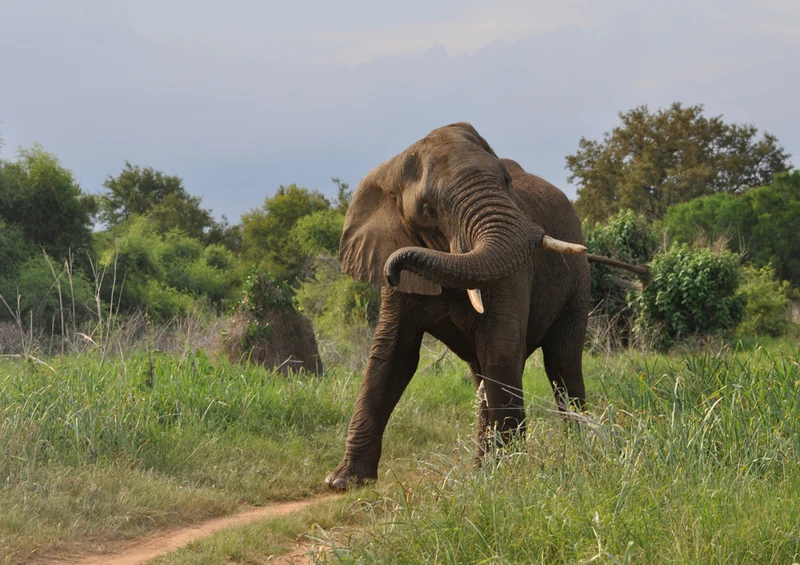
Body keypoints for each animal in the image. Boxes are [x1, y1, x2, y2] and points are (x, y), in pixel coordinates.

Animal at [325, 122, 647, 490]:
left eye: (506, 182)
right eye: (428, 210)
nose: (394, 268)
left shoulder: (517, 271)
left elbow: (501, 349)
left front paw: (510, 474)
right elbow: (392, 357)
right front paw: (343, 482)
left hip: (578, 284)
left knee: (561, 363)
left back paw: (576, 447)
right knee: (483, 374)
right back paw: (484, 467)